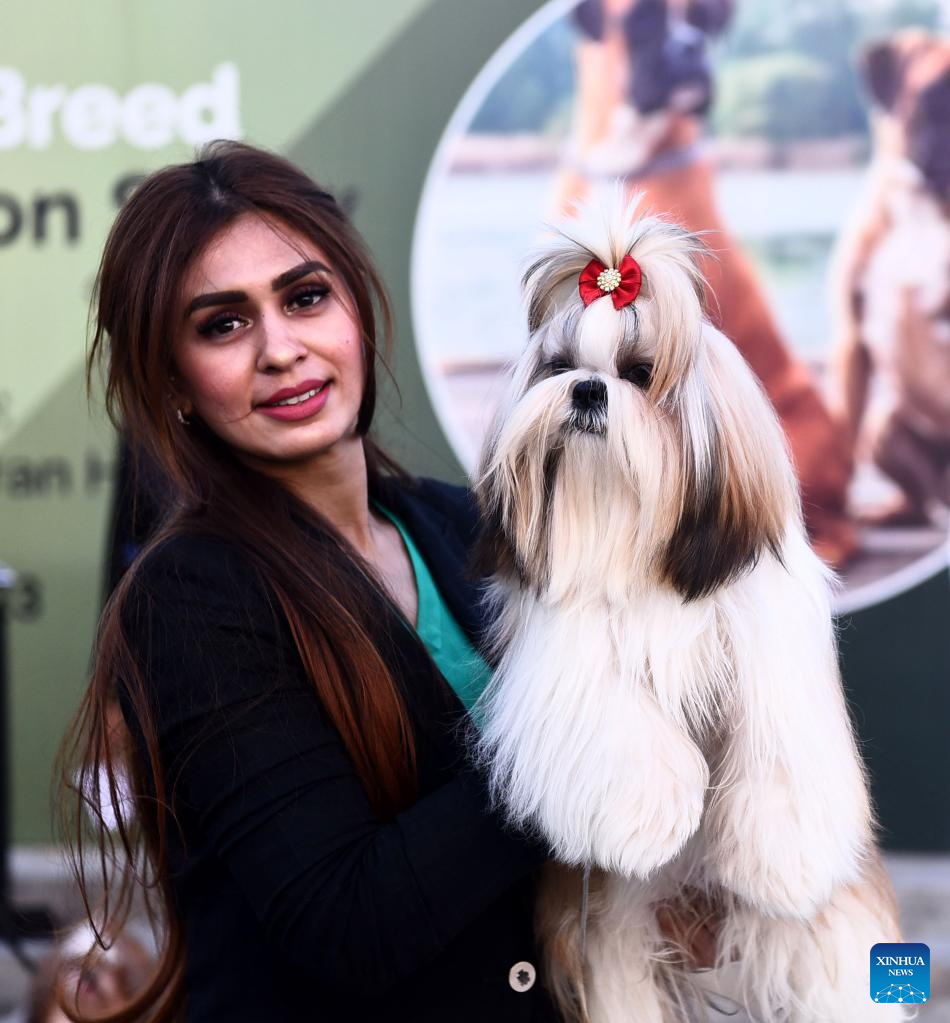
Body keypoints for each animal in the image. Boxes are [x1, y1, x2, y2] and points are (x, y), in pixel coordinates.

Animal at [474, 195, 903, 1018]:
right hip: (616, 950)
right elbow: (602, 696)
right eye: (558, 367)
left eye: (639, 375)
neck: (629, 540)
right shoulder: (558, 627)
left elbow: (778, 738)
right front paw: (644, 817)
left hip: (829, 952)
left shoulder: (770, 630)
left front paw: (784, 861)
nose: (586, 391)